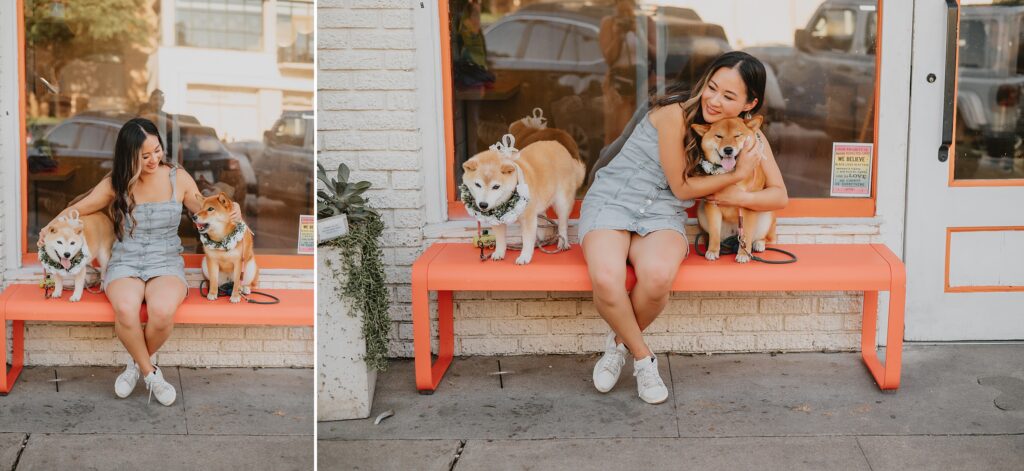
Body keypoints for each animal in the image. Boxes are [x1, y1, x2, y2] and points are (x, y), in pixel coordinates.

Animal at [462, 132, 585, 264]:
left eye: (496, 186)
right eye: (477, 184)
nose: (483, 204)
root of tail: (560, 147)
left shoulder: (527, 219)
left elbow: (527, 240)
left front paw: (525, 256)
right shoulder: (497, 220)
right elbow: (500, 240)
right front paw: (499, 253)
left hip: (562, 203)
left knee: (562, 224)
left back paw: (563, 243)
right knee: (542, 220)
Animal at [692, 113, 778, 261]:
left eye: (737, 135)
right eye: (719, 136)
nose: (728, 150)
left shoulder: (747, 206)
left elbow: (747, 234)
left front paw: (743, 254)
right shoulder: (712, 206)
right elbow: (714, 232)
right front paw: (713, 250)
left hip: (767, 214)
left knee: (768, 238)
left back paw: (759, 243)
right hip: (702, 211)